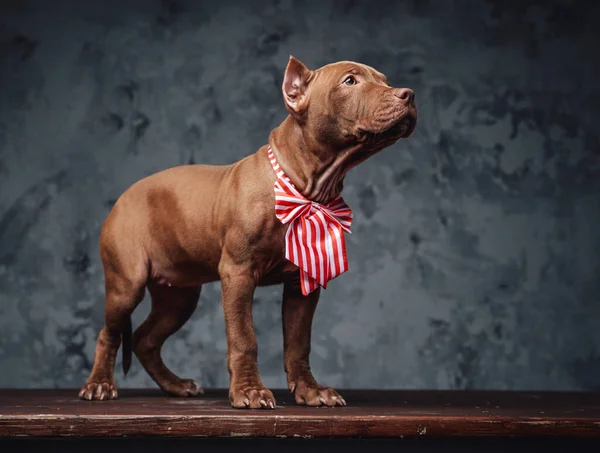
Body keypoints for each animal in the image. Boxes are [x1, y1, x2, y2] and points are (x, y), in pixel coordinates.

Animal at [78, 55, 418, 406]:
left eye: (385, 80)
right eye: (350, 81)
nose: (408, 94)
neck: (302, 185)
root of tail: (122, 198)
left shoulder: (302, 285)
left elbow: (299, 342)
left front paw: (310, 390)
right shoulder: (238, 274)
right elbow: (244, 337)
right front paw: (249, 390)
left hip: (179, 296)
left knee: (145, 339)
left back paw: (175, 385)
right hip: (126, 284)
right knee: (109, 333)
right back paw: (99, 384)